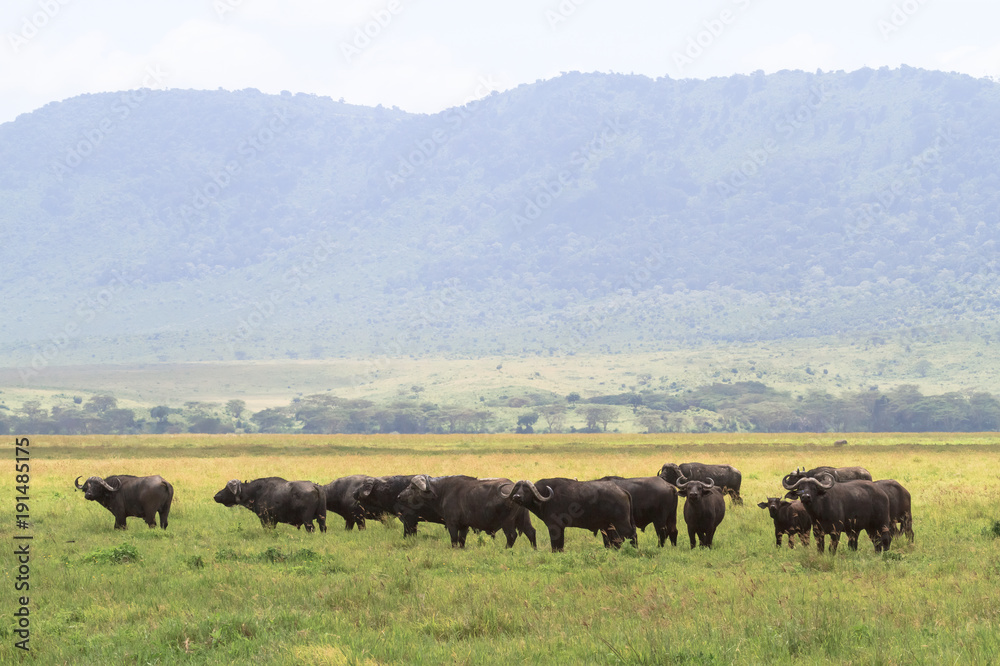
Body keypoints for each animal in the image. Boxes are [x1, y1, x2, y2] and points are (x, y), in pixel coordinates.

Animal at [398, 474, 540, 548]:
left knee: (511, 535)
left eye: (412, 487)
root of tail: (515, 491)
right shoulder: (464, 526)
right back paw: (534, 549)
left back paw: (506, 549)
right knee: (531, 532)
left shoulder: (452, 524)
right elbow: (462, 541)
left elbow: (454, 540)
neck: (443, 491)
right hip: (523, 519)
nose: (399, 496)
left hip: (508, 522)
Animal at [498, 478, 632, 548]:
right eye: (516, 488)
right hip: (610, 526)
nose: (516, 497)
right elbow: (560, 546)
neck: (546, 498)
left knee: (631, 535)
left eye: (526, 489)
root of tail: (621, 490)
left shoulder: (554, 527)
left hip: (622, 523)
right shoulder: (561, 528)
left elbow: (555, 545)